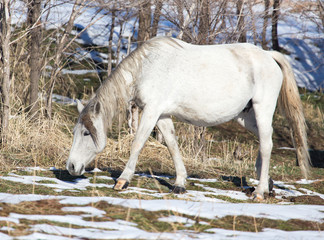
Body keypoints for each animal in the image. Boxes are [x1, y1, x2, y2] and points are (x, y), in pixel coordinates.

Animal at [66, 36, 312, 200]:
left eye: (86, 133)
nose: (71, 166)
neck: (147, 67)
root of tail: (268, 56)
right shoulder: (162, 115)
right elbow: (172, 145)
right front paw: (179, 183)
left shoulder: (151, 111)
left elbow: (137, 144)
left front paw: (123, 180)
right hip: (246, 117)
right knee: (264, 140)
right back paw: (266, 183)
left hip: (262, 109)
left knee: (267, 145)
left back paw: (260, 191)